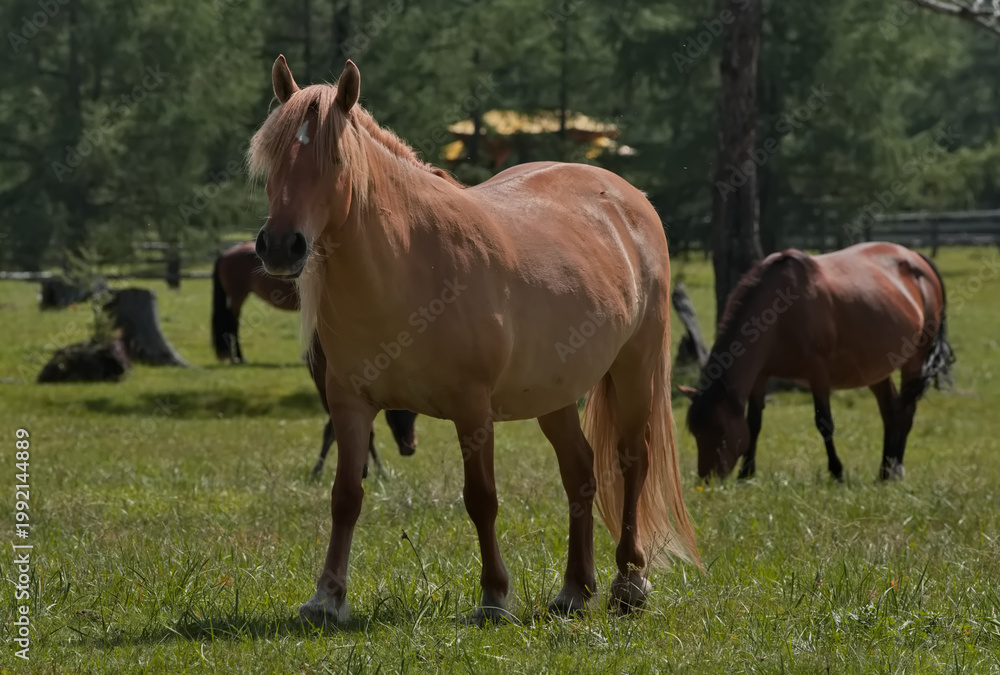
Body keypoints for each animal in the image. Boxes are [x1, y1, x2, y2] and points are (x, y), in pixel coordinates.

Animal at [211, 241, 418, 476]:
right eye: (396, 408)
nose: (409, 447)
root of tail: (226, 253)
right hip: (238, 294)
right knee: (233, 324)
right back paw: (239, 357)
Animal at [249, 55, 701, 626]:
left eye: (334, 158)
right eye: (271, 158)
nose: (280, 245)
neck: (409, 270)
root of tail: (627, 197)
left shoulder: (472, 409)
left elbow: (481, 498)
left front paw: (493, 596)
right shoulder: (349, 403)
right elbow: (345, 495)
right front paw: (327, 598)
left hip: (635, 368)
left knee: (630, 460)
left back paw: (629, 583)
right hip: (553, 393)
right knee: (580, 471)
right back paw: (574, 590)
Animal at [679, 242, 955, 483]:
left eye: (721, 432)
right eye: (695, 432)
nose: (708, 480)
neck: (780, 313)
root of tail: (916, 258)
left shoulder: (818, 372)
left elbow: (825, 423)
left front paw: (837, 472)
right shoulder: (761, 375)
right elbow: (754, 423)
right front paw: (746, 474)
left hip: (916, 358)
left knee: (906, 410)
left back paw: (896, 470)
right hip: (875, 368)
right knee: (890, 410)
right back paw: (885, 471)